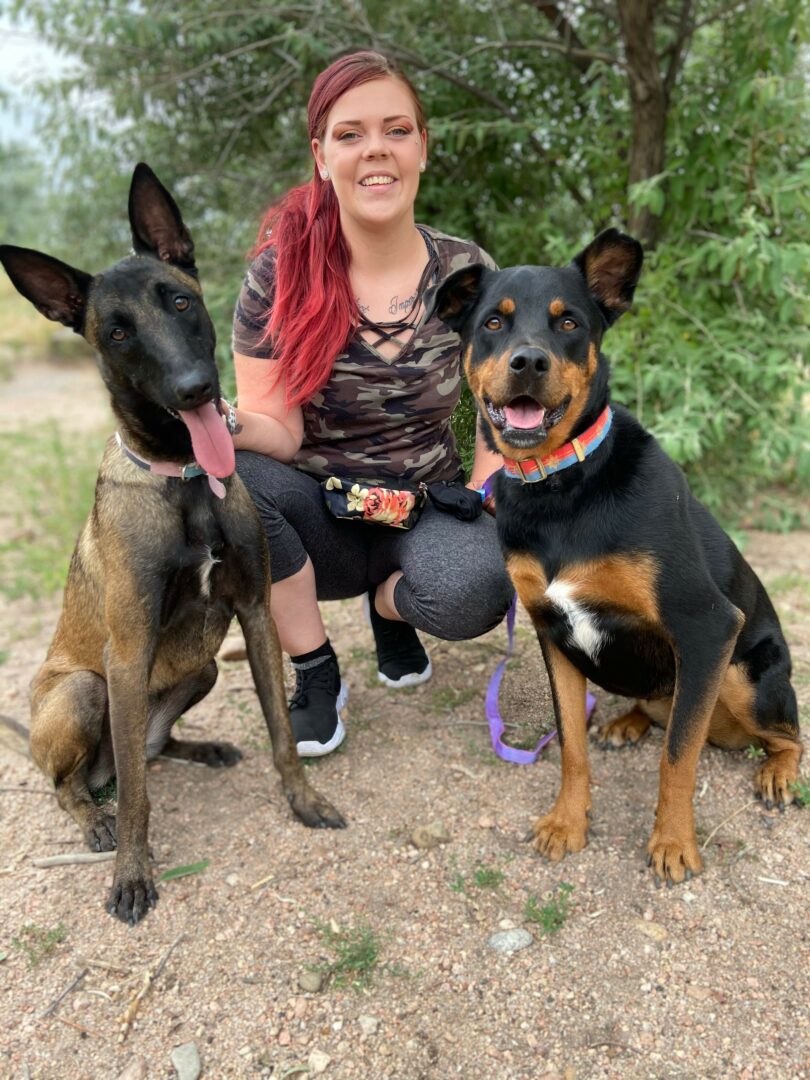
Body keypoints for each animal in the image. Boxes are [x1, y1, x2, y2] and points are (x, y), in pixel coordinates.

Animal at [0, 163, 345, 924]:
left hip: (205, 668)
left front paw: (304, 801)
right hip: (82, 692)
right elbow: (137, 800)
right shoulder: (127, 655)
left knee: (151, 751)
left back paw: (202, 747)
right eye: (117, 333)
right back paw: (92, 818)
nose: (196, 389)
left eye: (181, 301)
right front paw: (131, 873)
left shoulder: (255, 614)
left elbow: (282, 733)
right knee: (85, 783)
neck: (185, 480)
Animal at [427, 229, 802, 884]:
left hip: (741, 674)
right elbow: (571, 746)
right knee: (662, 711)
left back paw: (777, 772)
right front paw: (567, 822)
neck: (560, 486)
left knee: (784, 736)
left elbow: (677, 759)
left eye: (569, 322)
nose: (529, 362)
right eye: (494, 322)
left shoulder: (706, 625)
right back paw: (627, 723)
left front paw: (673, 843)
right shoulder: (553, 632)